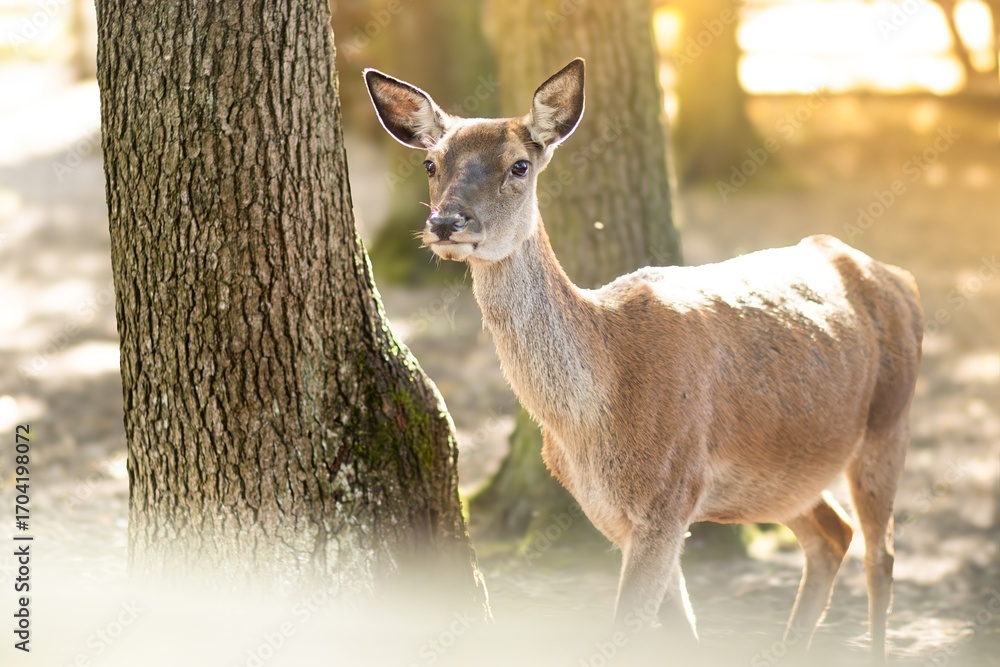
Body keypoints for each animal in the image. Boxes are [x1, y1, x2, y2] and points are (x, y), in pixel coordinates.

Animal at [364, 58, 923, 663]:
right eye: (431, 162)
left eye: (519, 164)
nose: (446, 222)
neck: (592, 420)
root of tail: (902, 279)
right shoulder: (609, 513)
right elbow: (678, 631)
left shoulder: (669, 495)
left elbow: (626, 631)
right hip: (784, 476)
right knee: (831, 534)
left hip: (889, 422)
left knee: (881, 555)